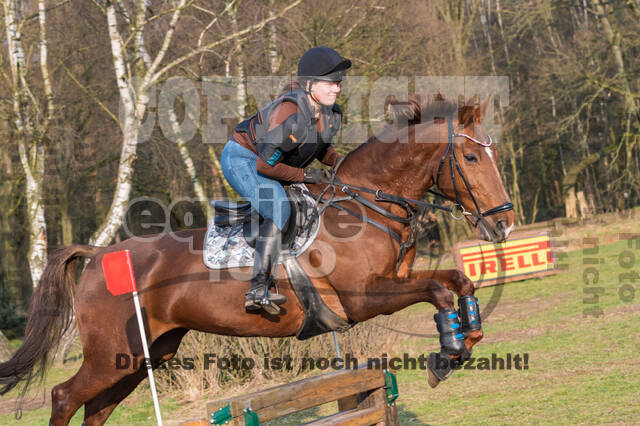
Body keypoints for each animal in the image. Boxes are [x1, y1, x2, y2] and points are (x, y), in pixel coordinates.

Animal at [0, 93, 516, 422]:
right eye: (472, 159)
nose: (504, 225)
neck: (365, 205)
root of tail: (102, 252)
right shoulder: (364, 298)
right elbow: (436, 290)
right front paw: (446, 356)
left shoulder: (397, 279)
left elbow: (457, 281)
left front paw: (467, 340)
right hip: (112, 354)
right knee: (64, 397)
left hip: (144, 355)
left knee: (96, 407)